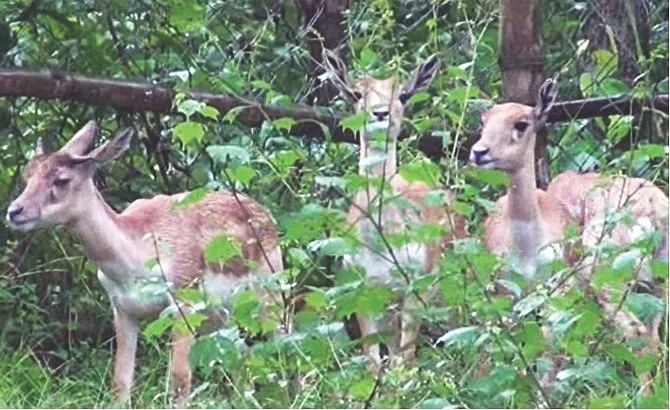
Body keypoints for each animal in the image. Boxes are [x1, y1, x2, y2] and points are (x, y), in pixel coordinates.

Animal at [5, 120, 284, 406]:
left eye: (62, 179)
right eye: (27, 175)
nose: (14, 211)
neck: (135, 261)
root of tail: (270, 218)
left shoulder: (183, 298)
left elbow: (179, 381)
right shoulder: (122, 309)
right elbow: (120, 381)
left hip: (271, 291)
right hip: (221, 313)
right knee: (241, 357)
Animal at [336, 53, 468, 368]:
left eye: (404, 94)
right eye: (356, 93)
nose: (380, 113)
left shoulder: (417, 287)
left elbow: (405, 360)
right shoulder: (365, 292)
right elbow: (374, 360)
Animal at [472, 78, 668, 396]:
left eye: (521, 123)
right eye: (483, 121)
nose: (479, 151)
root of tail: (655, 210)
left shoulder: (556, 289)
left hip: (608, 278)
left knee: (638, 335)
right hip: (657, 284)